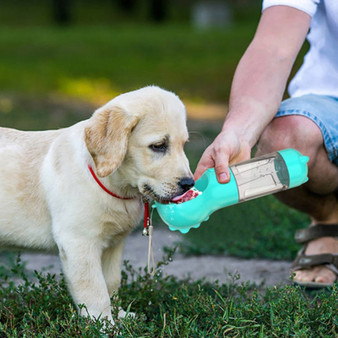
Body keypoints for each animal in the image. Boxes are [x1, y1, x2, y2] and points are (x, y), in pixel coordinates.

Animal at [0, 87, 193, 324]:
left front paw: (120, 315)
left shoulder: (113, 244)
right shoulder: (78, 243)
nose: (189, 183)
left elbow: (111, 283)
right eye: (158, 146)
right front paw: (105, 325)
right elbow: (95, 290)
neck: (115, 187)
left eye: (183, 145)